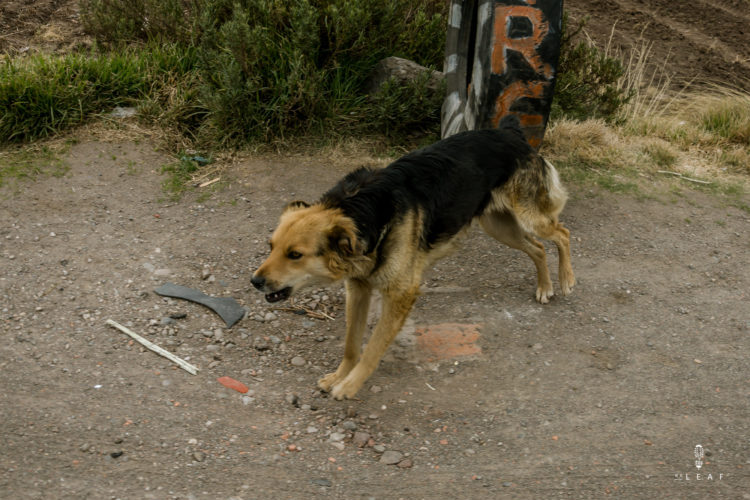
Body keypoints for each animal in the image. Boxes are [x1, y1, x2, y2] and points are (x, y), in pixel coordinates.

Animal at [253, 116, 576, 398]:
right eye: (271, 247)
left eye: (295, 255)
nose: (254, 282)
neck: (363, 213)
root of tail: (511, 132)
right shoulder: (358, 289)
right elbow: (351, 344)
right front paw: (339, 376)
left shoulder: (401, 294)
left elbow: (372, 348)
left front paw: (350, 386)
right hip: (498, 225)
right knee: (538, 248)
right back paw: (544, 287)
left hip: (529, 218)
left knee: (562, 233)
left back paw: (565, 280)